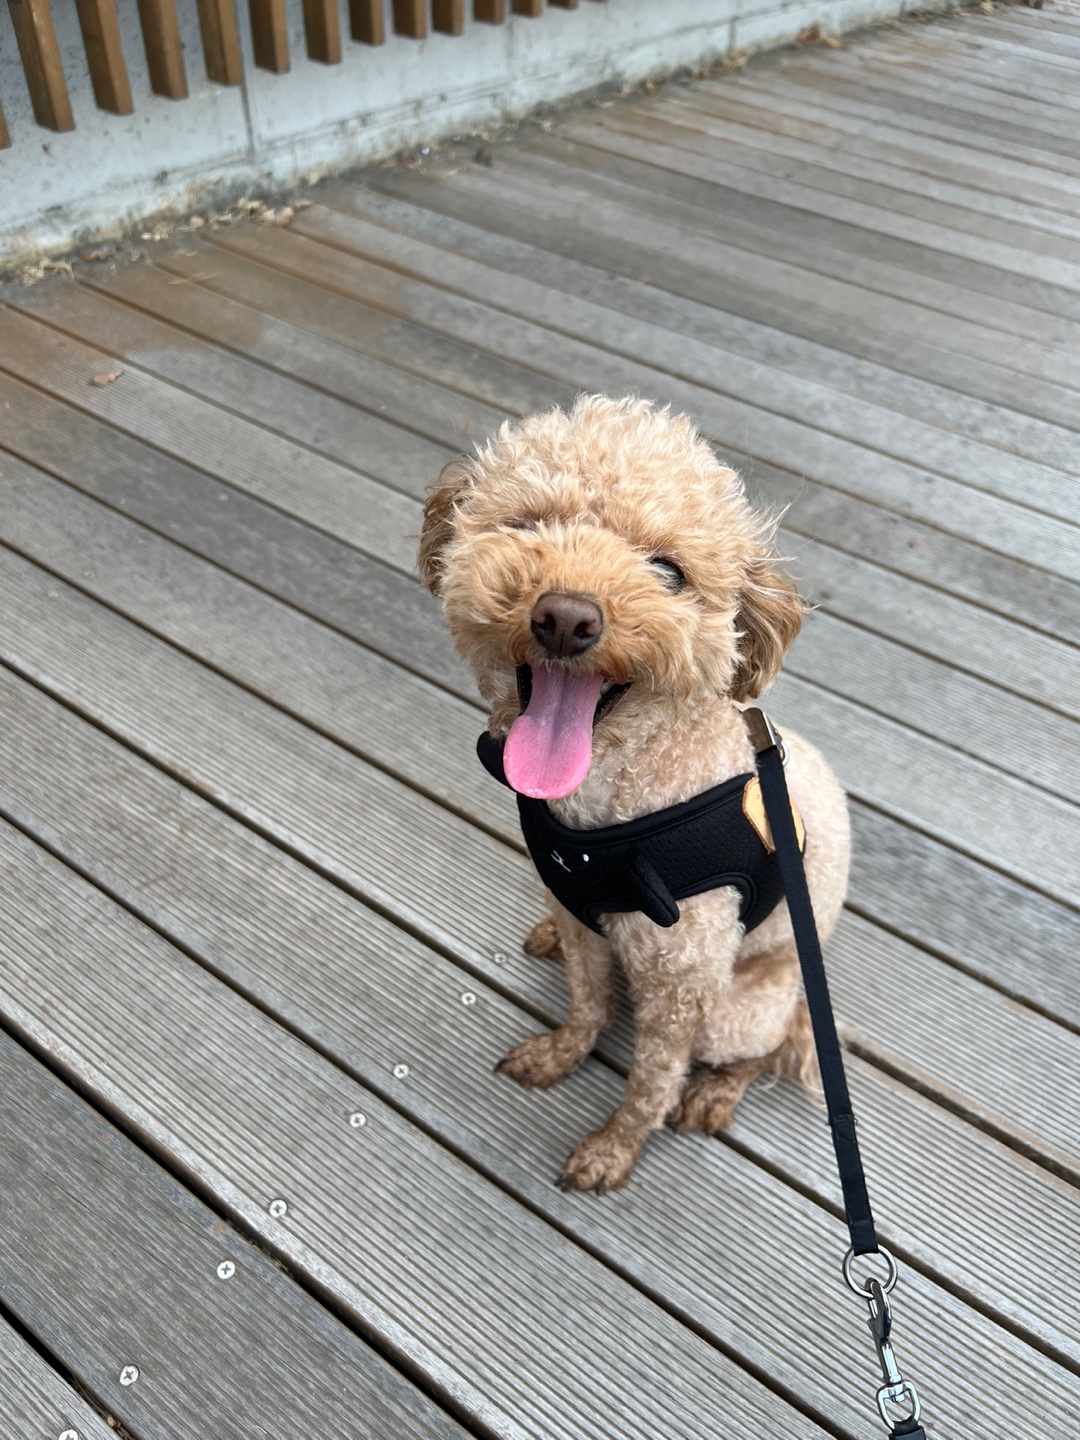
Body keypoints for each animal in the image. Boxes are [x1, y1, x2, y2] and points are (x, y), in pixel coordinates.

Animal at [419, 395, 850, 1195]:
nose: (565, 617)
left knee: (767, 1049)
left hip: (739, 1010)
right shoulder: (581, 916)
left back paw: (716, 1092)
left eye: (668, 571)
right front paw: (559, 1051)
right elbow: (587, 1003)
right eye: (528, 524)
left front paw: (613, 1150)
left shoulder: (680, 988)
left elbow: (650, 1082)